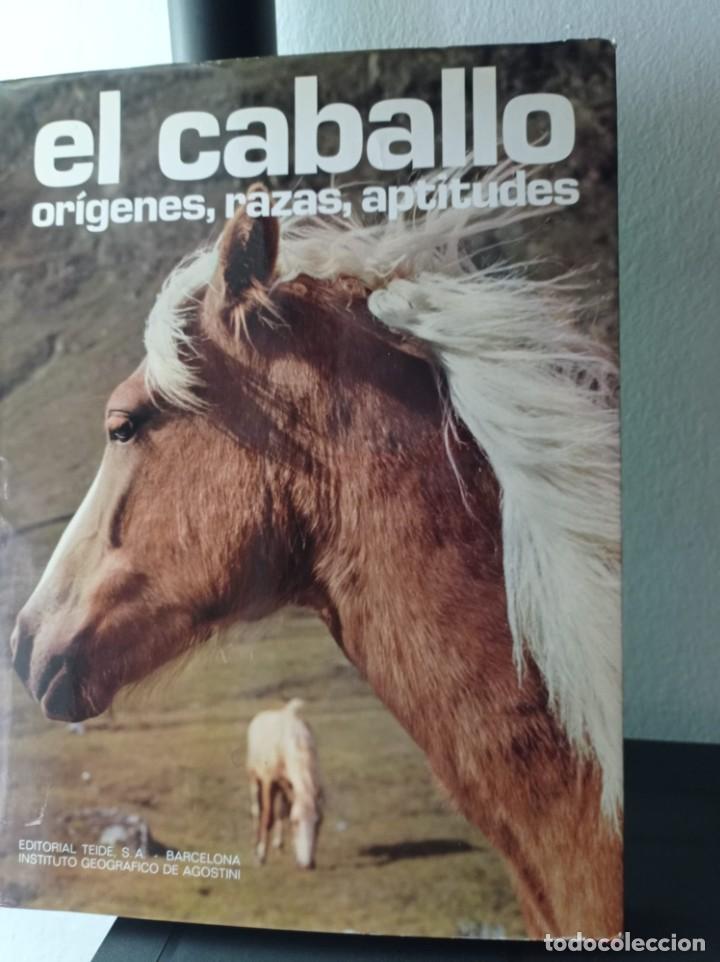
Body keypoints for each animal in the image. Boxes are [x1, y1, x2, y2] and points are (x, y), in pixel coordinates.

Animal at [246, 698, 323, 869]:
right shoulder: (268, 781)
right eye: (295, 822)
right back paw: (255, 844)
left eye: (316, 822)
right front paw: (261, 855)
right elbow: (267, 817)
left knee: (280, 811)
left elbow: (281, 813)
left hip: (283, 787)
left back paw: (278, 845)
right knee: (256, 810)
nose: (307, 864)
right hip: (254, 778)